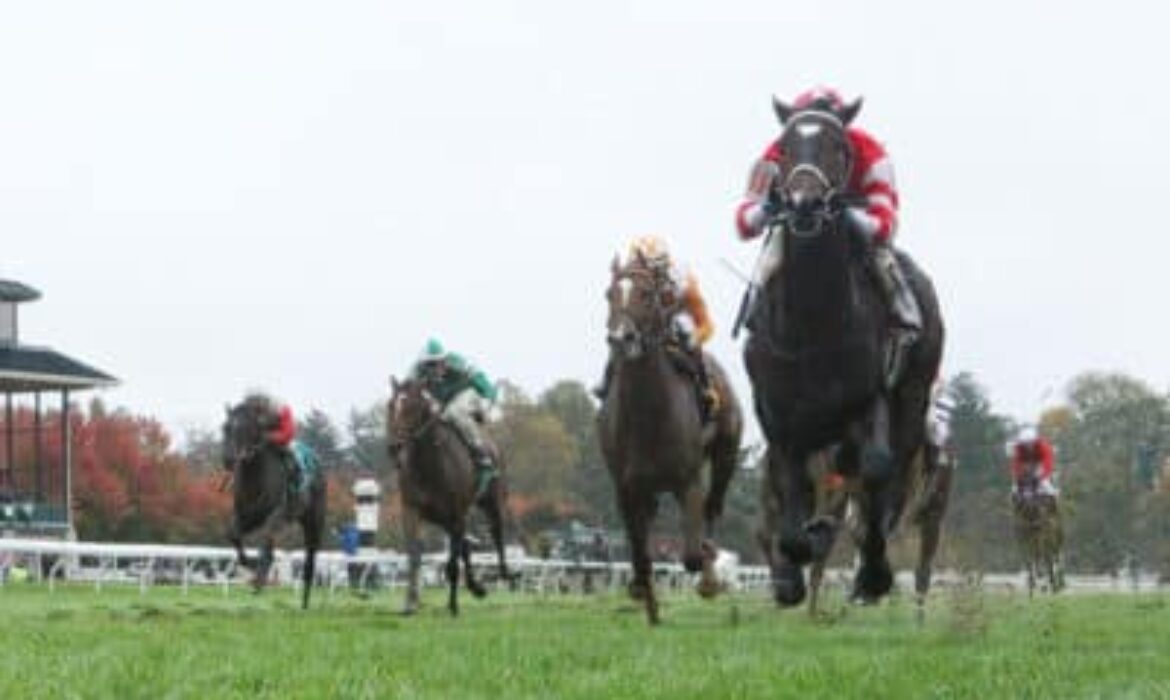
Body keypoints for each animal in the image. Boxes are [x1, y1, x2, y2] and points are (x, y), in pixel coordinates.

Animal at [221, 397, 325, 613]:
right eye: (225, 427)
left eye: (245, 429)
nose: (227, 459)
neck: (255, 476)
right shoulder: (246, 516)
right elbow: (234, 535)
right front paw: (251, 565)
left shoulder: (277, 514)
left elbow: (266, 538)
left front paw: (259, 578)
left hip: (313, 521)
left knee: (310, 559)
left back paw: (305, 601)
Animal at [388, 379, 512, 618]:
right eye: (390, 406)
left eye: (411, 408)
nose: (394, 446)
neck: (429, 464)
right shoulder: (412, 510)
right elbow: (414, 556)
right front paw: (410, 604)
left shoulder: (457, 512)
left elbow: (452, 565)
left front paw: (454, 606)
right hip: (444, 518)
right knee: (465, 544)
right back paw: (476, 587)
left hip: (490, 501)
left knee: (497, 531)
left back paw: (504, 573)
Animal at [599, 252, 744, 627]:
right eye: (609, 294)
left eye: (646, 294)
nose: (621, 339)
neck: (648, 414)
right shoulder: (626, 488)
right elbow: (641, 555)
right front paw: (647, 603)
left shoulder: (688, 481)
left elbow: (691, 554)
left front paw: (710, 576)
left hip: (725, 455)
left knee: (713, 507)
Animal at [744, 95, 954, 613]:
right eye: (785, 147)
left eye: (839, 147)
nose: (804, 203)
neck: (811, 322)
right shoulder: (779, 419)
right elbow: (789, 500)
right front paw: (793, 567)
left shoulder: (867, 402)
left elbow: (876, 472)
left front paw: (872, 572)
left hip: (911, 400)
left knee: (887, 484)